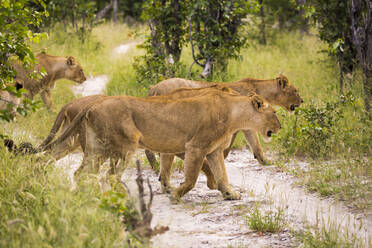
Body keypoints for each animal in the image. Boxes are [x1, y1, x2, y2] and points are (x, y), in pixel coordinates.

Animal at [42, 88, 280, 201]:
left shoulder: (213, 151)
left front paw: (230, 194)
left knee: (81, 173)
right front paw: (176, 194)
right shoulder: (195, 147)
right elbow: (192, 178)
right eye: (275, 113)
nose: (279, 127)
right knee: (110, 176)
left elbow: (222, 175)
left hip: (96, 149)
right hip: (126, 146)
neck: (234, 114)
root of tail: (92, 105)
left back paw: (84, 195)